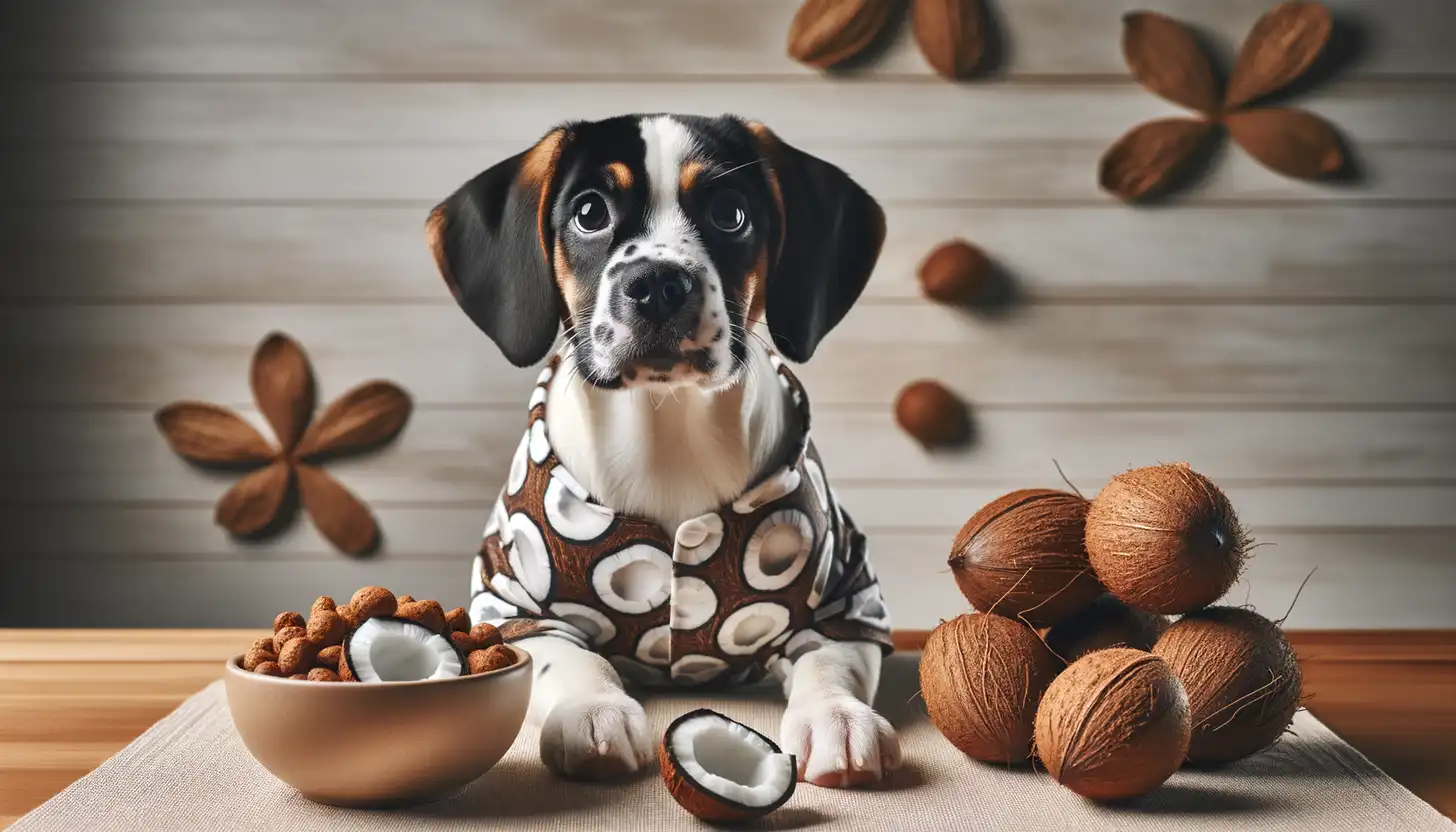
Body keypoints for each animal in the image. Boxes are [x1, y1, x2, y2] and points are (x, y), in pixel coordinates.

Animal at [425, 112, 896, 786]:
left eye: (730, 213)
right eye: (589, 213)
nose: (655, 284)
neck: (666, 432)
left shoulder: (848, 592)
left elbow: (827, 661)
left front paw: (838, 717)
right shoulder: (510, 601)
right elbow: (571, 660)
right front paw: (595, 712)